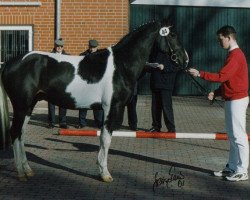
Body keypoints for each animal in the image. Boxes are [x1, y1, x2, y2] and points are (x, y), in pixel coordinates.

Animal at [0, 19, 188, 183]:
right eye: (172, 35)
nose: (184, 59)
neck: (122, 64)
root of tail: (9, 63)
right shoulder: (112, 108)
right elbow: (105, 139)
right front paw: (105, 174)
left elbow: (104, 138)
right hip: (21, 106)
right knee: (15, 133)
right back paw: (21, 173)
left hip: (28, 107)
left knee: (21, 134)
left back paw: (28, 170)